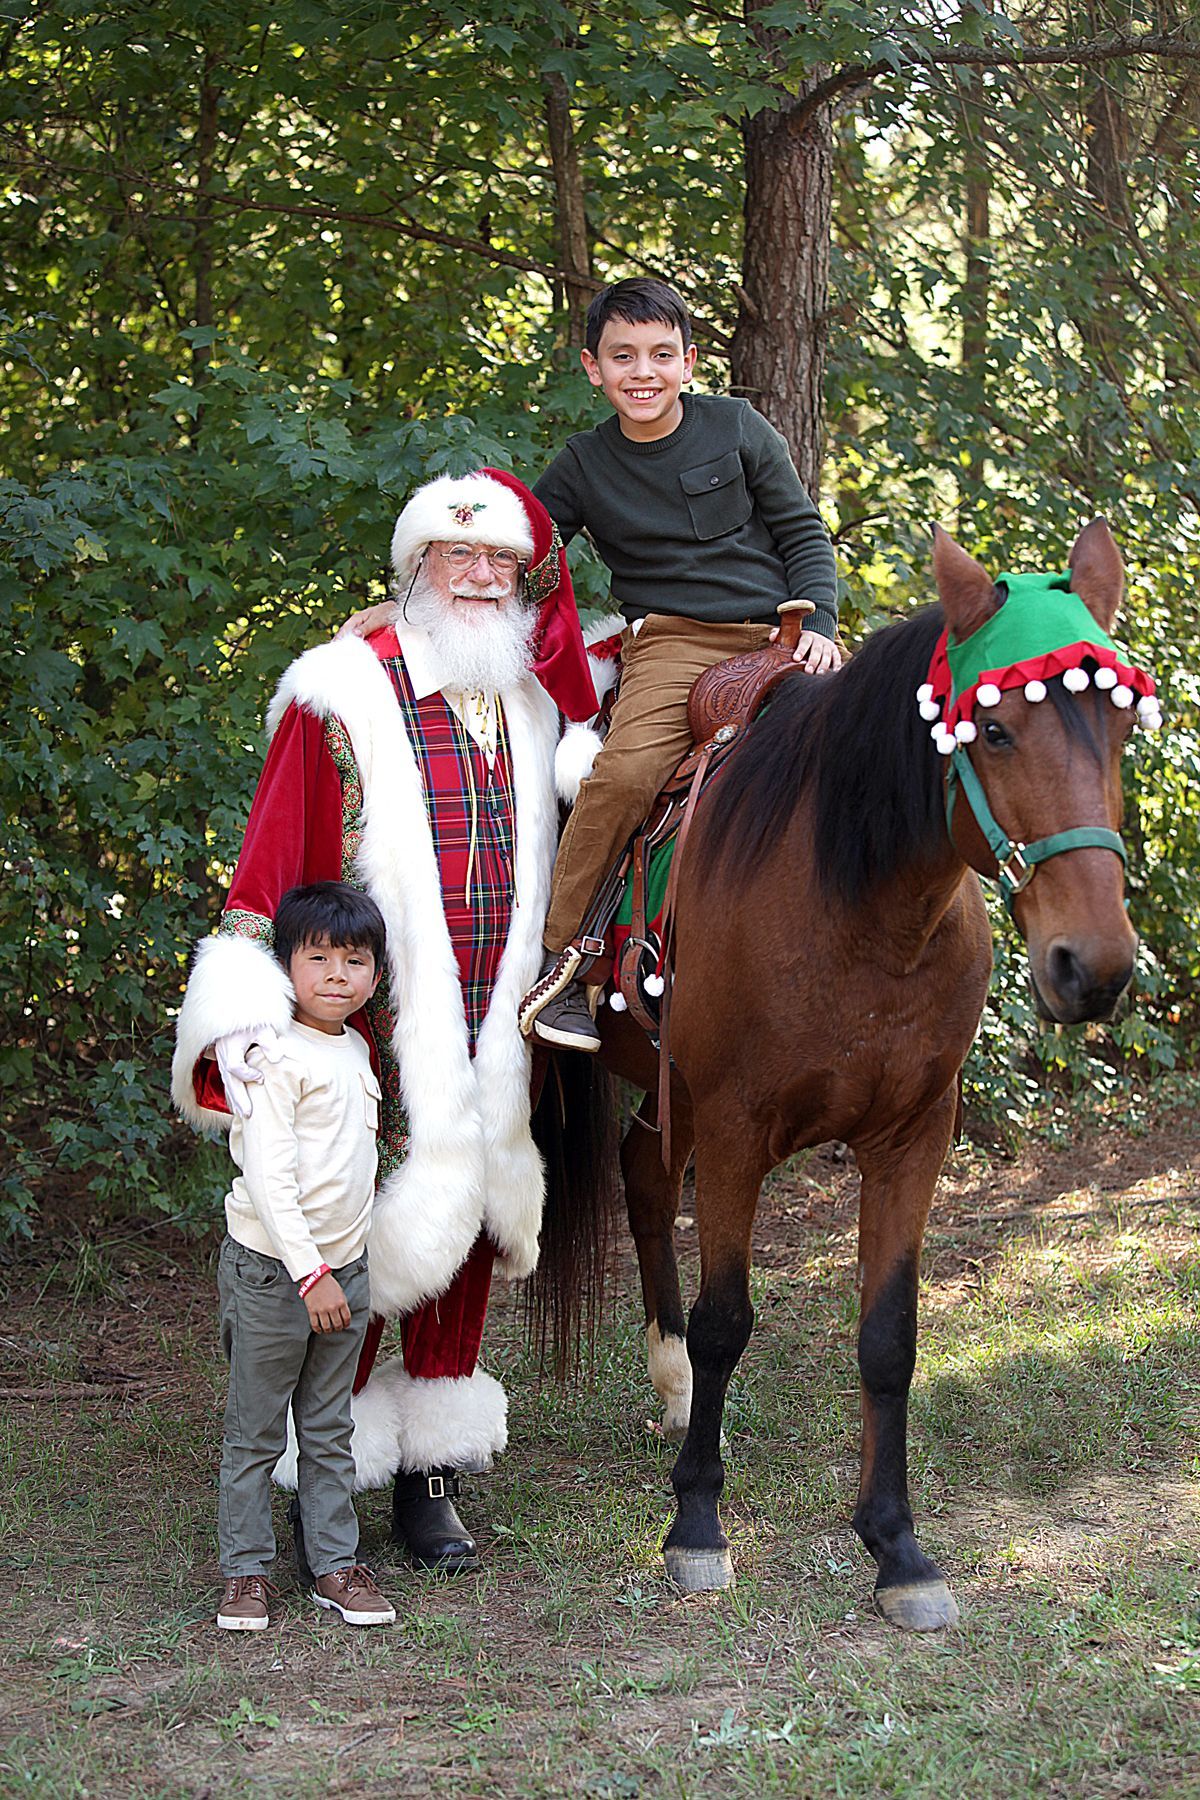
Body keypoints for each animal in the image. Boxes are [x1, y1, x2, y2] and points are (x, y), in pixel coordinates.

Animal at [549, 518, 1143, 1632]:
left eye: (1120, 727)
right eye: (996, 732)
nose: (1094, 965)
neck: (863, 905)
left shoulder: (913, 1138)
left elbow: (888, 1337)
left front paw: (895, 1544)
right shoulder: (735, 1132)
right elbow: (727, 1322)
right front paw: (698, 1527)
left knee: (641, 1177)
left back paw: (670, 1391)